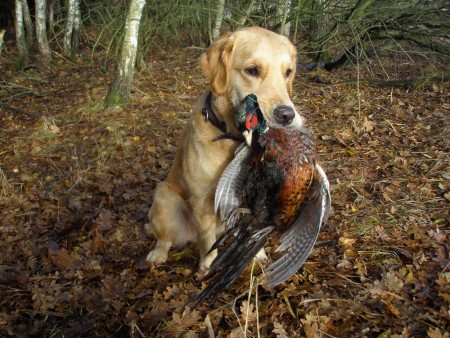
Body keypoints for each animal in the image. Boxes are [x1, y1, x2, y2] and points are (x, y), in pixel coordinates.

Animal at [146, 25, 304, 270]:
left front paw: (255, 255)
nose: (287, 115)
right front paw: (208, 264)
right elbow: (207, 239)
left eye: (288, 72)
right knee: (165, 238)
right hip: (164, 197)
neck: (234, 138)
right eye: (252, 70)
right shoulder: (201, 200)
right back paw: (158, 254)